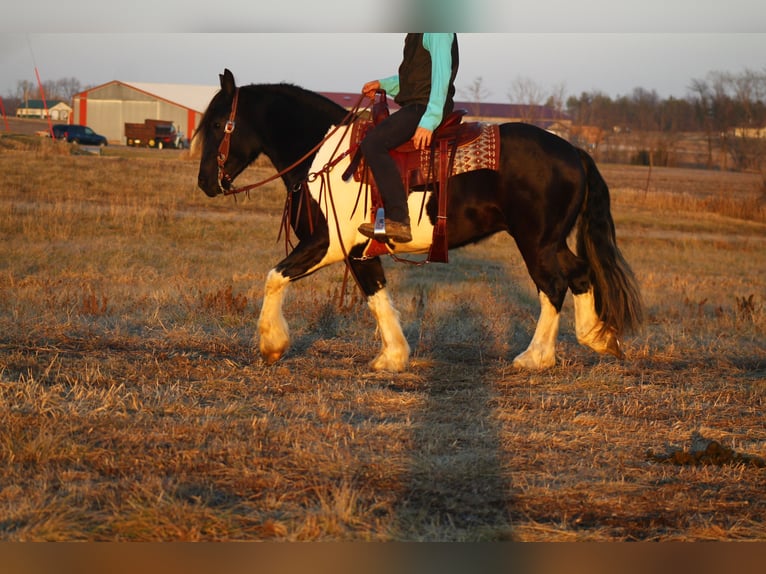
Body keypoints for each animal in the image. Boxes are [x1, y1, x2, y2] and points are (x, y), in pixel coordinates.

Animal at [196, 68, 640, 374]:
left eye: (218, 124)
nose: (205, 183)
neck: (324, 155)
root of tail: (573, 151)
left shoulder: (327, 243)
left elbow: (275, 276)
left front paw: (272, 344)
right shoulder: (359, 250)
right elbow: (376, 294)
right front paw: (392, 356)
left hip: (536, 242)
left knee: (554, 284)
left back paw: (536, 357)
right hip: (550, 241)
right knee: (580, 273)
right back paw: (596, 338)